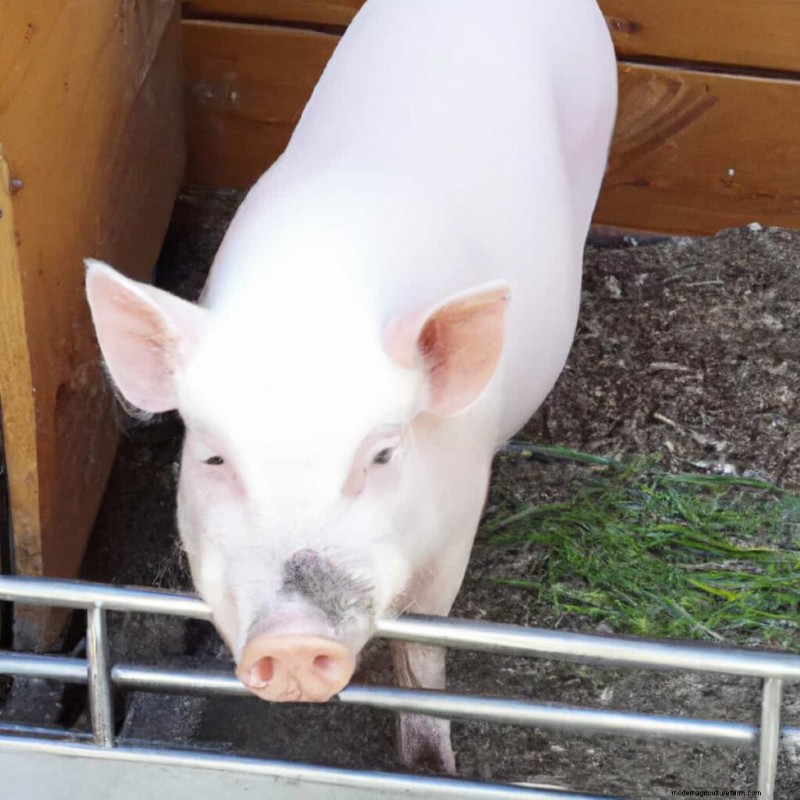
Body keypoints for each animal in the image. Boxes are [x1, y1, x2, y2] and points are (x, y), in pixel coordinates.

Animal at [85, 0, 617, 773]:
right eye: (213, 458)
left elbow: (425, 649)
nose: (293, 638)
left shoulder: (458, 516)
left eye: (384, 455)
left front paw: (430, 767)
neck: (317, 309)